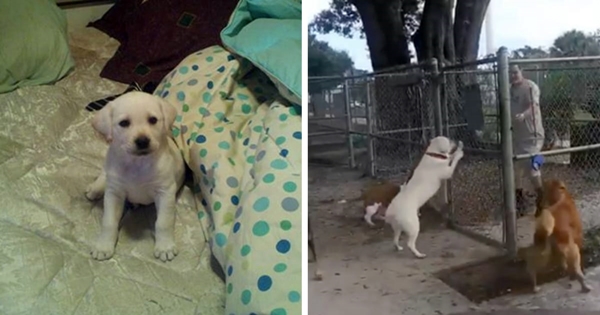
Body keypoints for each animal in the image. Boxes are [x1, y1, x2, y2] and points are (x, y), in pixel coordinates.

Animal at [83, 92, 184, 264]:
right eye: (124, 123)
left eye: (153, 120)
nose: (142, 141)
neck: (138, 163)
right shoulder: (114, 193)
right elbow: (109, 222)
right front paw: (103, 246)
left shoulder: (165, 192)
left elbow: (163, 222)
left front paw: (165, 247)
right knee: (104, 173)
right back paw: (95, 188)